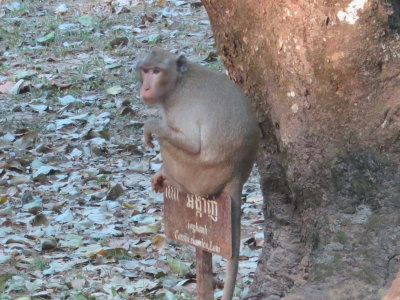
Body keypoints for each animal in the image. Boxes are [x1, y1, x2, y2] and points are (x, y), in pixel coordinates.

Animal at [137, 49, 260, 300]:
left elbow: (192, 143)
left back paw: (171, 177)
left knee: (169, 142)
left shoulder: (178, 106)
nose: (145, 87)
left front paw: (150, 125)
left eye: (156, 71)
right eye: (145, 71)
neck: (177, 82)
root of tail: (238, 174)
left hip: (197, 176)